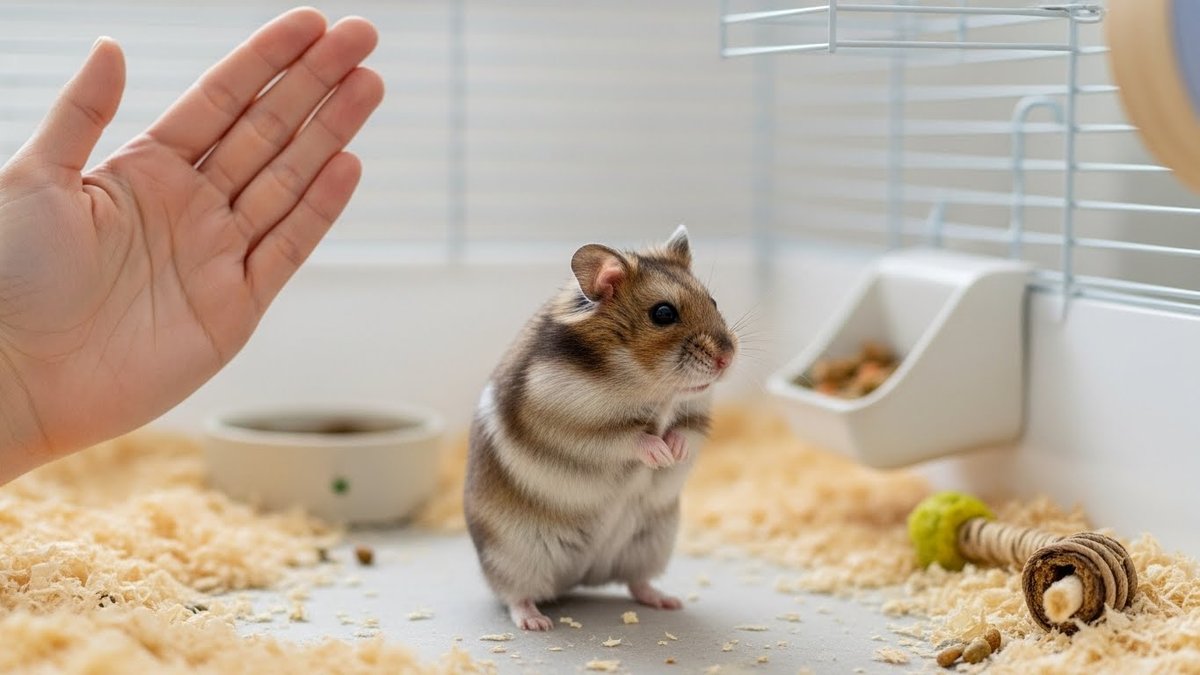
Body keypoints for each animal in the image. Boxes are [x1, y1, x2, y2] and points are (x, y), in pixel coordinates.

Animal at [464, 226, 737, 631]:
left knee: (636, 582)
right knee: (515, 594)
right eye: (663, 313)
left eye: (714, 301)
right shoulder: (573, 424)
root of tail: (579, 578)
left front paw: (674, 451)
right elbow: (629, 438)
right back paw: (536, 623)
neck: (654, 388)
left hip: (650, 544)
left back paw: (667, 601)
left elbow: (685, 434)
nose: (727, 358)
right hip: (513, 555)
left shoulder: (695, 417)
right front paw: (659, 453)